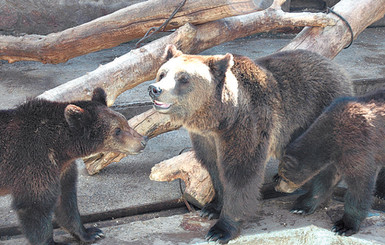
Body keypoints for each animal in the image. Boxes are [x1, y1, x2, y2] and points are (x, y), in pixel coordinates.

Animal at [0, 88, 147, 245]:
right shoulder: (34, 163)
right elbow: (35, 205)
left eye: (125, 121)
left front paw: (91, 233)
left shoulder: (63, 169)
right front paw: (50, 241)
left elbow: (66, 200)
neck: (60, 147)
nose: (143, 141)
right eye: (117, 130)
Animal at [148, 45, 352, 243]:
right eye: (162, 73)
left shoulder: (246, 125)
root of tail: (339, 69)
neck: (220, 117)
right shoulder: (206, 138)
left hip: (318, 110)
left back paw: (306, 203)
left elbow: (240, 172)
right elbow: (214, 167)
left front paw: (220, 230)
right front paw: (211, 208)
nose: (154, 89)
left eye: (183, 78)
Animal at [276, 89, 384, 236]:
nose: (277, 187)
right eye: (280, 174)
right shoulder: (335, 157)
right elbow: (325, 179)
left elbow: (360, 185)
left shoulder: (358, 146)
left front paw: (344, 226)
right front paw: (301, 207)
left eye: (284, 176)